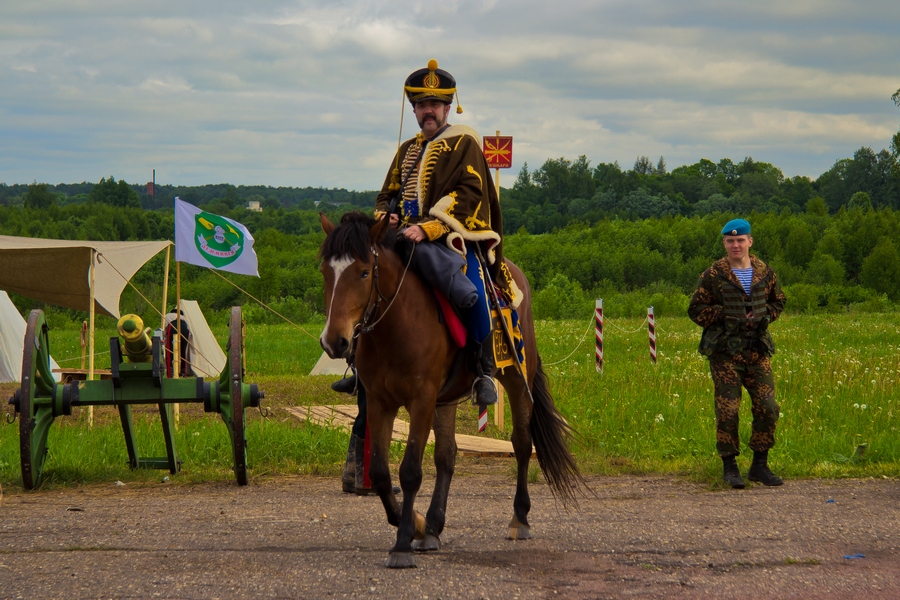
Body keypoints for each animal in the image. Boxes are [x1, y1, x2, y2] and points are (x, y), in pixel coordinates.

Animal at [320, 211, 580, 568]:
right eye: (325, 272)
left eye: (363, 271)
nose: (335, 341)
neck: (397, 324)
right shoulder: (378, 401)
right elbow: (381, 472)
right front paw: (416, 524)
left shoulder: (421, 400)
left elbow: (410, 471)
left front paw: (402, 543)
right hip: (446, 399)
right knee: (447, 455)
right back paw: (432, 527)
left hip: (516, 376)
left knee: (522, 444)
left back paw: (519, 519)